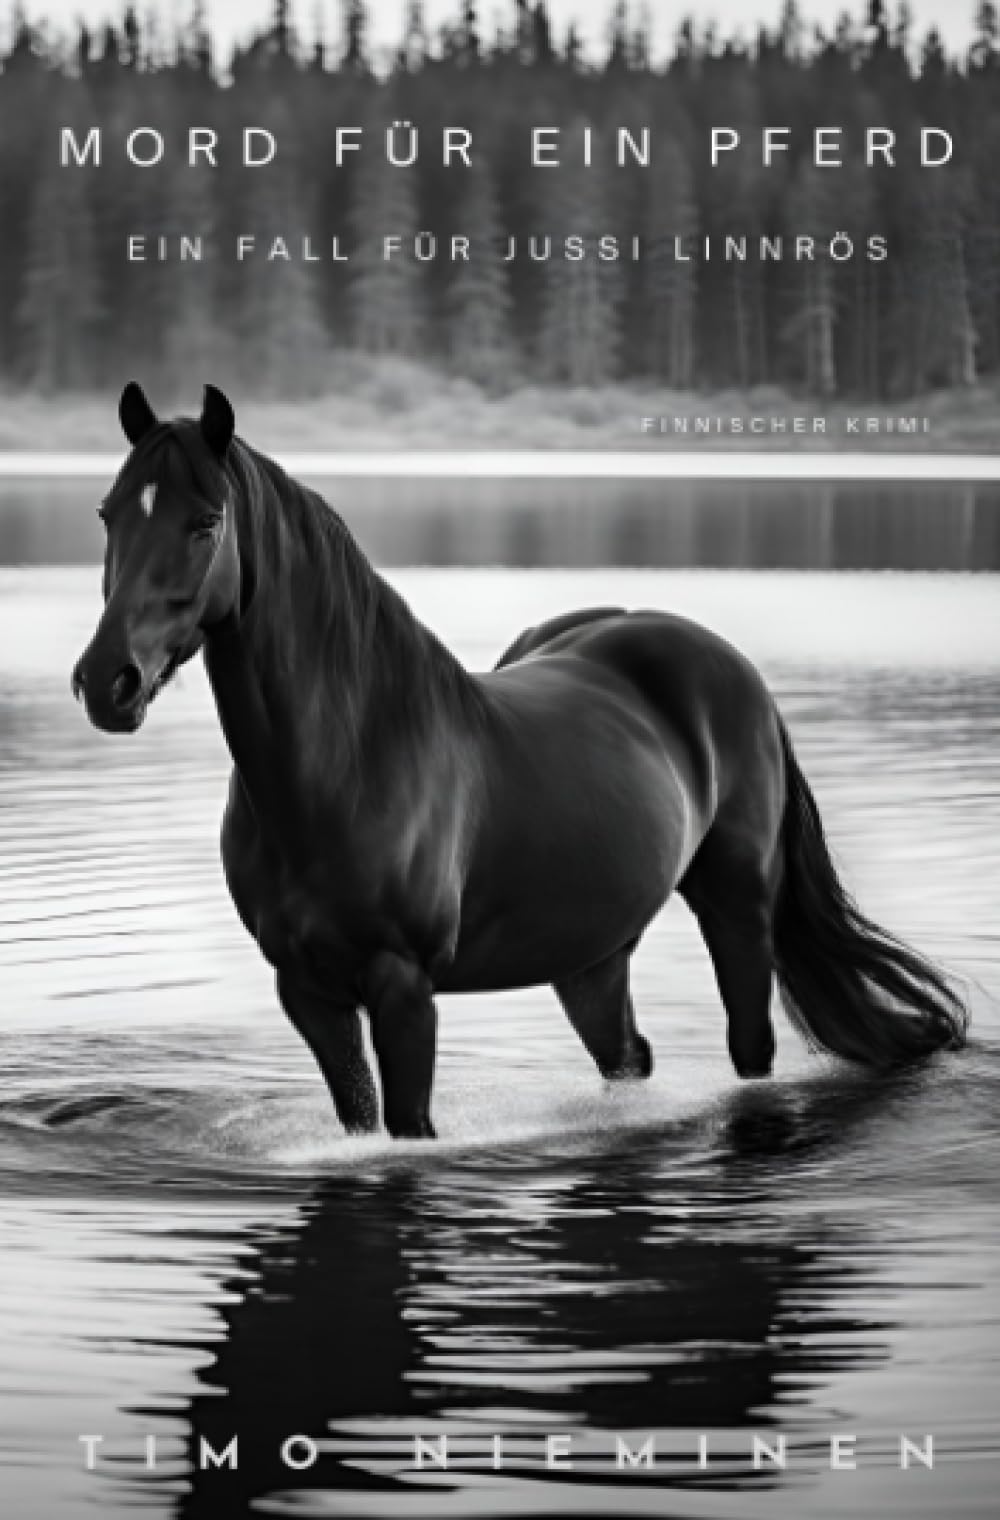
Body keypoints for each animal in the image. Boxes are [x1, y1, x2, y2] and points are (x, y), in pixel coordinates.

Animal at [71, 383, 968, 1139]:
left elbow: (407, 1128)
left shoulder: (403, 987)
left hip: (737, 906)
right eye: (109, 514)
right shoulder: (308, 991)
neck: (346, 764)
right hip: (591, 951)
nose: (107, 682)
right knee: (627, 1057)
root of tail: (723, 661)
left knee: (750, 1048)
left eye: (205, 522)